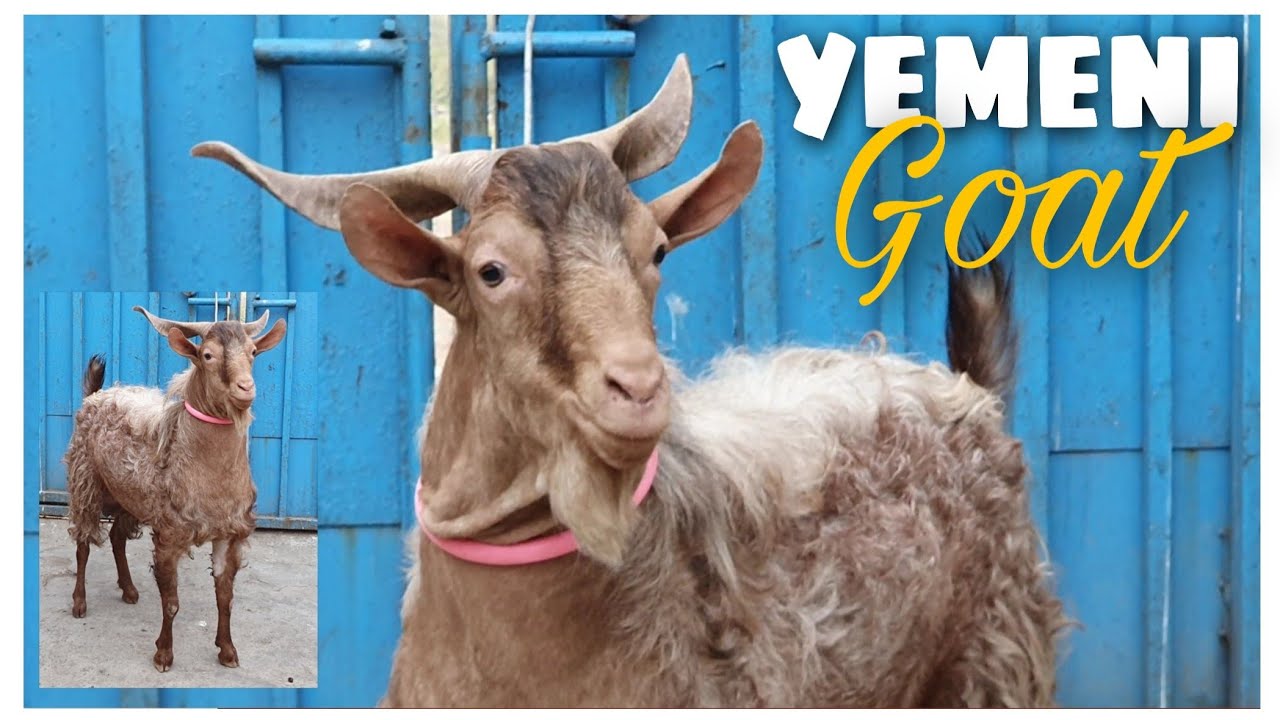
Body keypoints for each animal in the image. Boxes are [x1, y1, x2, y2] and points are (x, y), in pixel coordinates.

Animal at [62, 307, 287, 672]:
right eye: (207, 355)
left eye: (253, 352)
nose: (246, 387)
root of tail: (96, 395)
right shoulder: (170, 534)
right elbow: (171, 602)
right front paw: (163, 654)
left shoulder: (229, 534)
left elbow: (225, 598)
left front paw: (227, 651)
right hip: (85, 482)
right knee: (83, 544)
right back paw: (79, 603)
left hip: (130, 497)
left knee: (117, 538)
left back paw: (129, 590)